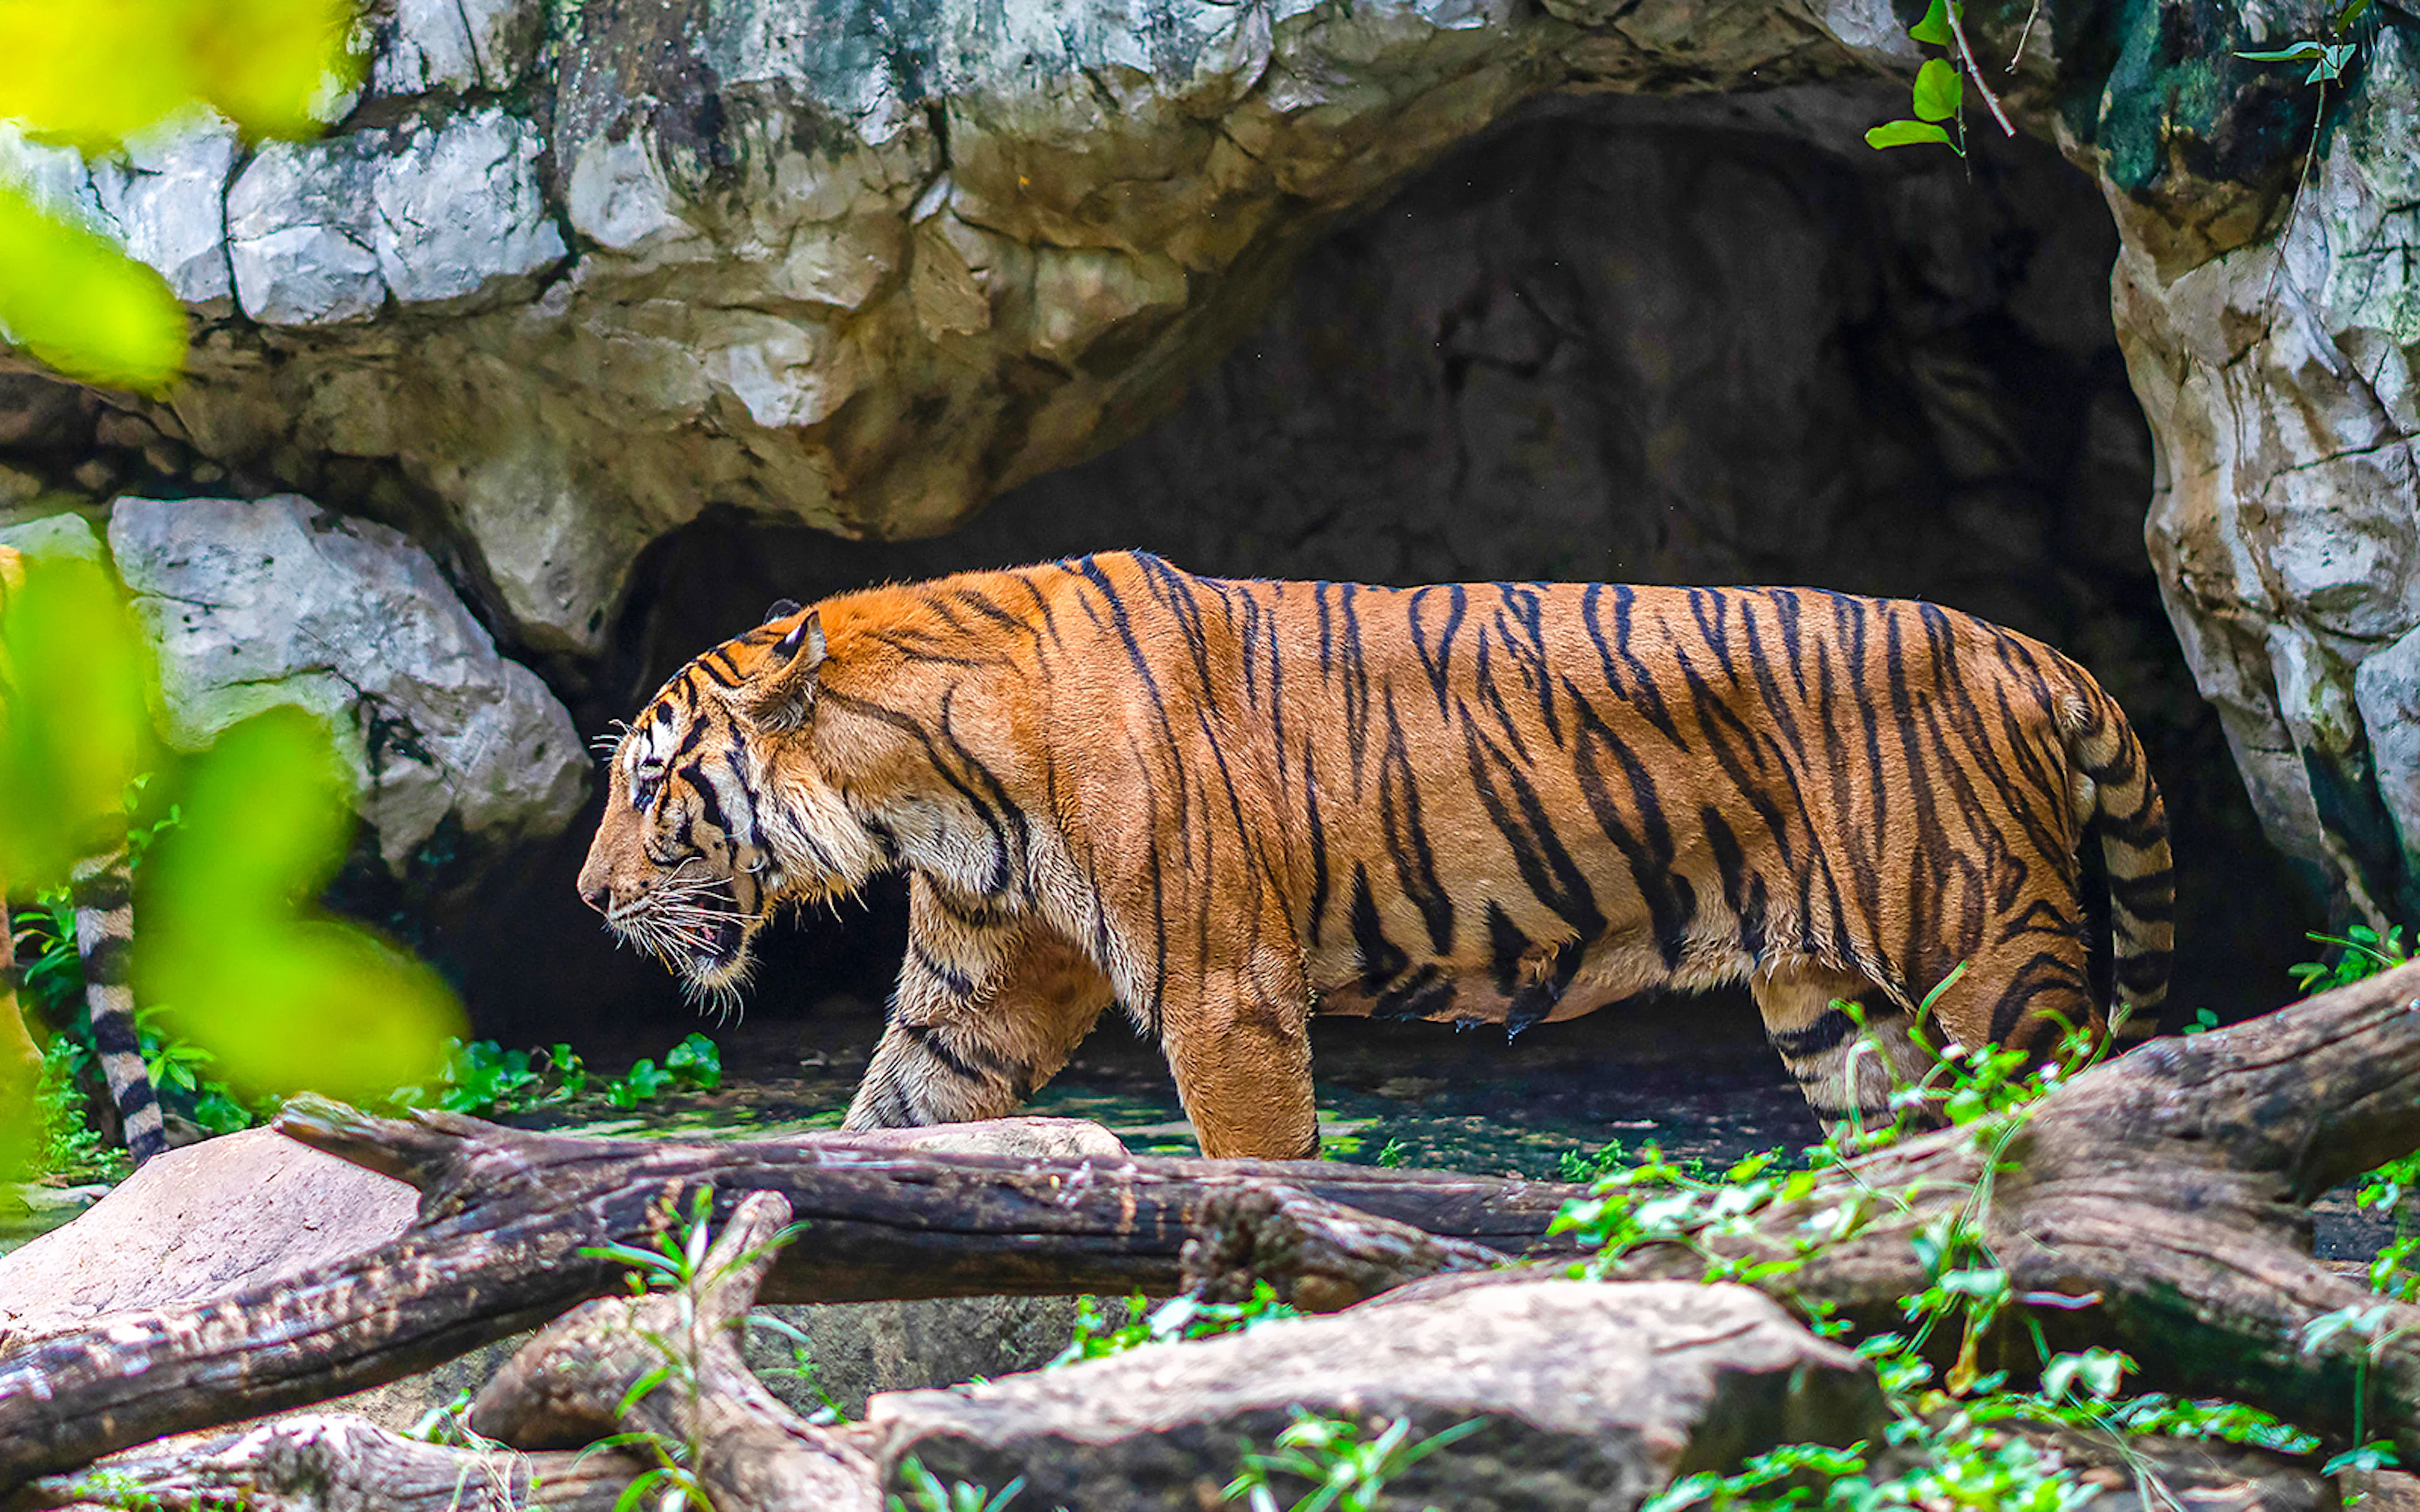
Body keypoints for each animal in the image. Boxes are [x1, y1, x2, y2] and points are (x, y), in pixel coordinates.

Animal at [578, 550, 2174, 1160]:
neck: (921, 787)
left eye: (650, 781)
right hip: (1829, 1008)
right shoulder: (981, 992)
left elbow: (1255, 1164)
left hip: (1987, 955)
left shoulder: (1222, 987)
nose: (588, 896)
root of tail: (2023, 650)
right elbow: (892, 1116)